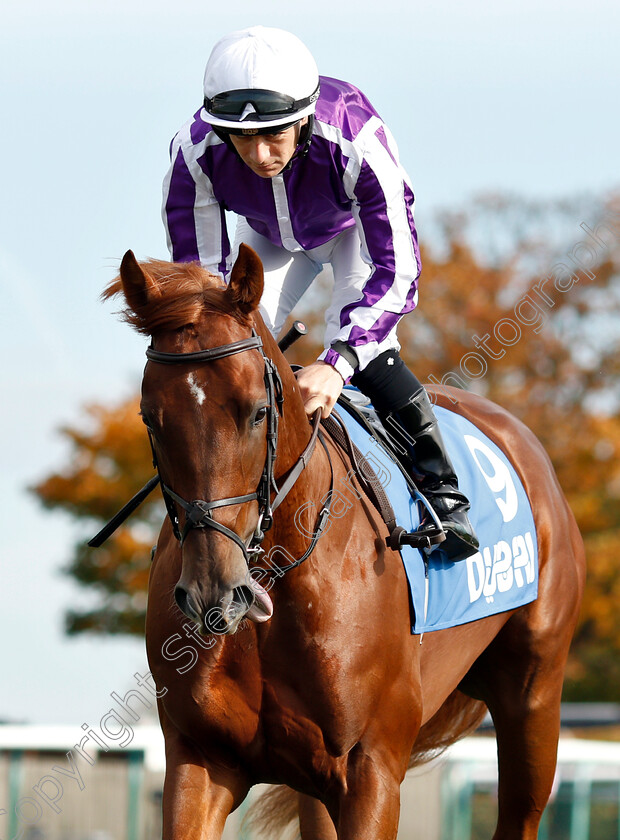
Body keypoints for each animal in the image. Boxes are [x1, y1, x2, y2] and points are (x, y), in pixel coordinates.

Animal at [104, 244, 584, 840]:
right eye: (151, 418)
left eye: (257, 411)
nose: (217, 592)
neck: (277, 575)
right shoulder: (201, 760)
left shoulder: (371, 770)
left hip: (533, 696)